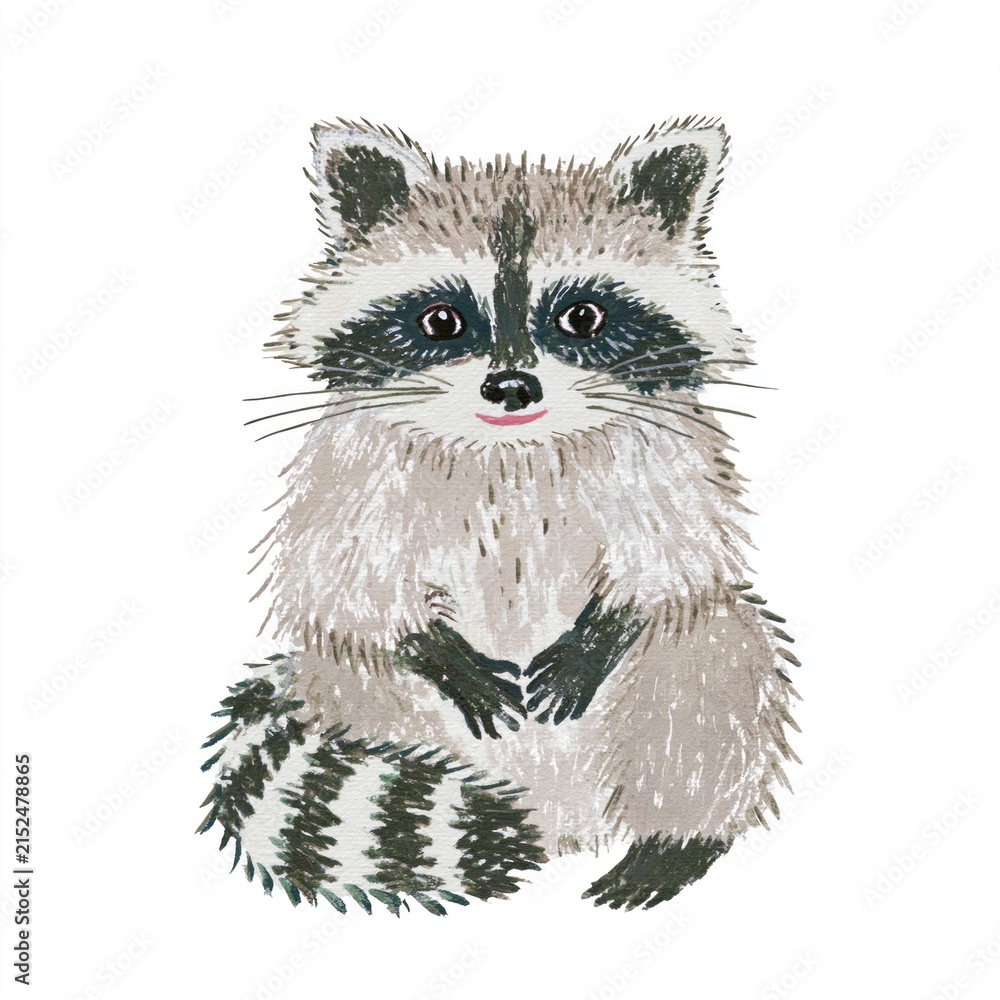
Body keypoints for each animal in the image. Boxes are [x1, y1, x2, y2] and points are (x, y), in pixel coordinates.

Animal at [198, 117, 801, 915]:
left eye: (582, 316)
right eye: (441, 319)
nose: (512, 387)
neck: (511, 447)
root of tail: (561, 826)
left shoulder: (667, 456)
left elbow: (673, 564)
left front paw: (600, 633)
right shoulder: (353, 467)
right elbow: (342, 584)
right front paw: (431, 645)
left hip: (691, 683)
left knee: (709, 676)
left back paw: (675, 840)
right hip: (354, 699)